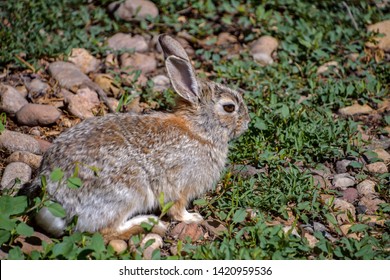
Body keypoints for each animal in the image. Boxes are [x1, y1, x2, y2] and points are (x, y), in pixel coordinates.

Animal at [23, 34, 250, 241]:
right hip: (128, 193)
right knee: (106, 232)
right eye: (229, 108)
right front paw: (192, 218)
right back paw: (150, 223)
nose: (247, 122)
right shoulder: (180, 184)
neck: (199, 130)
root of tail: (53, 198)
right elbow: (177, 209)